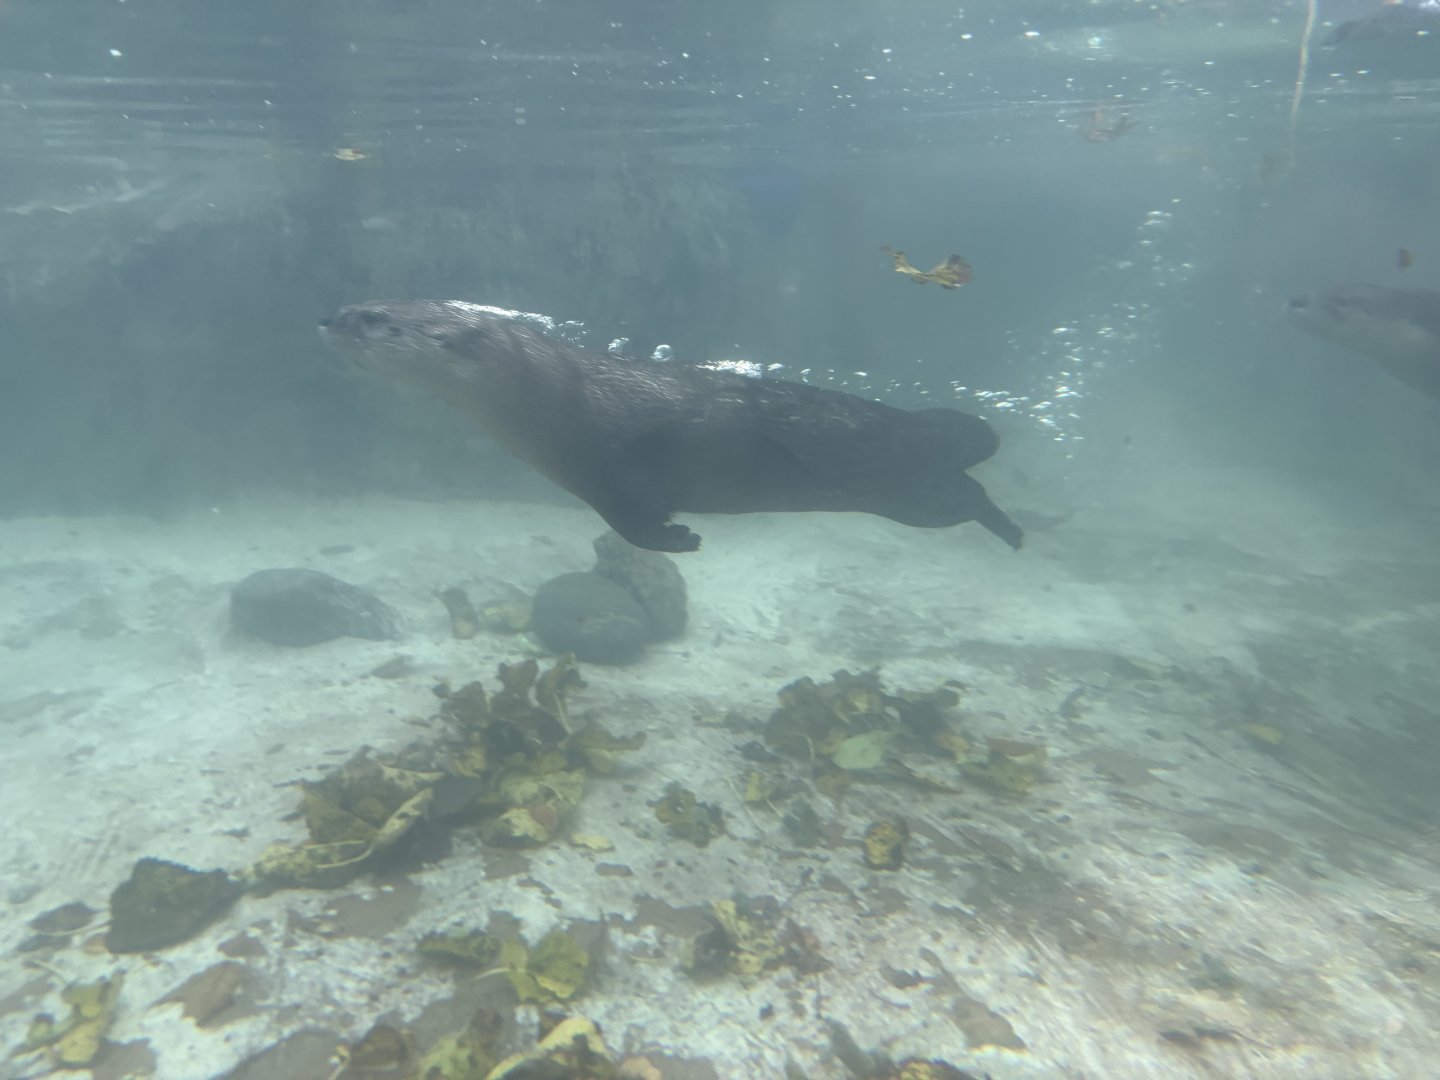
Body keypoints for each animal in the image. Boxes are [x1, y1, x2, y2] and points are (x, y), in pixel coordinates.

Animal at [319, 299, 1022, 553]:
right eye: (361, 304)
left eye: (376, 318)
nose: (330, 317)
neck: (558, 398)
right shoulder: (596, 482)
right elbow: (630, 523)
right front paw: (682, 537)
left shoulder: (613, 468)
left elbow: (638, 522)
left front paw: (682, 539)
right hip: (917, 498)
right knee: (971, 491)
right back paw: (1010, 526)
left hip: (910, 466)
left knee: (961, 451)